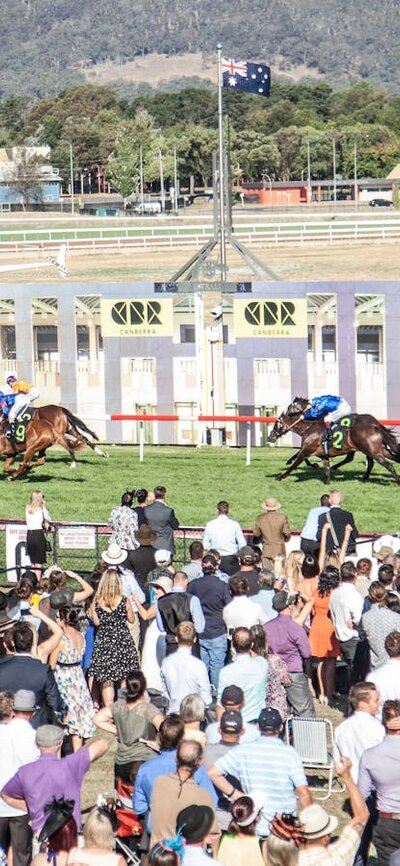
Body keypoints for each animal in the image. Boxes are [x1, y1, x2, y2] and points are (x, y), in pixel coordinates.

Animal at [268, 396, 400, 482]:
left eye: (276, 424)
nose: (270, 437)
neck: (309, 427)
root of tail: (375, 425)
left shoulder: (306, 450)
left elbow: (296, 461)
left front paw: (281, 475)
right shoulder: (322, 454)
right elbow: (325, 469)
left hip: (371, 450)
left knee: (384, 464)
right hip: (377, 449)